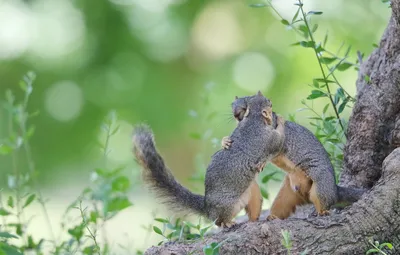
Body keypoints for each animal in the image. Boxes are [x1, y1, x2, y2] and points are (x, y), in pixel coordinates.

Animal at [133, 91, 286, 227]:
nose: (237, 114)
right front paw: (281, 121)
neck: (253, 119)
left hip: (252, 195)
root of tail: (207, 208)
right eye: (270, 103)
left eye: (248, 101)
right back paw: (228, 223)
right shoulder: (271, 139)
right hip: (229, 206)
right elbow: (278, 139)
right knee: (218, 221)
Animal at [223, 94, 368, 220]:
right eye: (232, 104)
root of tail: (335, 190)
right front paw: (225, 141)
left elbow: (273, 149)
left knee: (324, 201)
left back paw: (323, 211)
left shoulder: (277, 139)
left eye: (247, 104)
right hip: (286, 195)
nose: (236, 114)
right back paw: (273, 216)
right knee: (281, 206)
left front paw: (262, 163)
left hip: (321, 185)